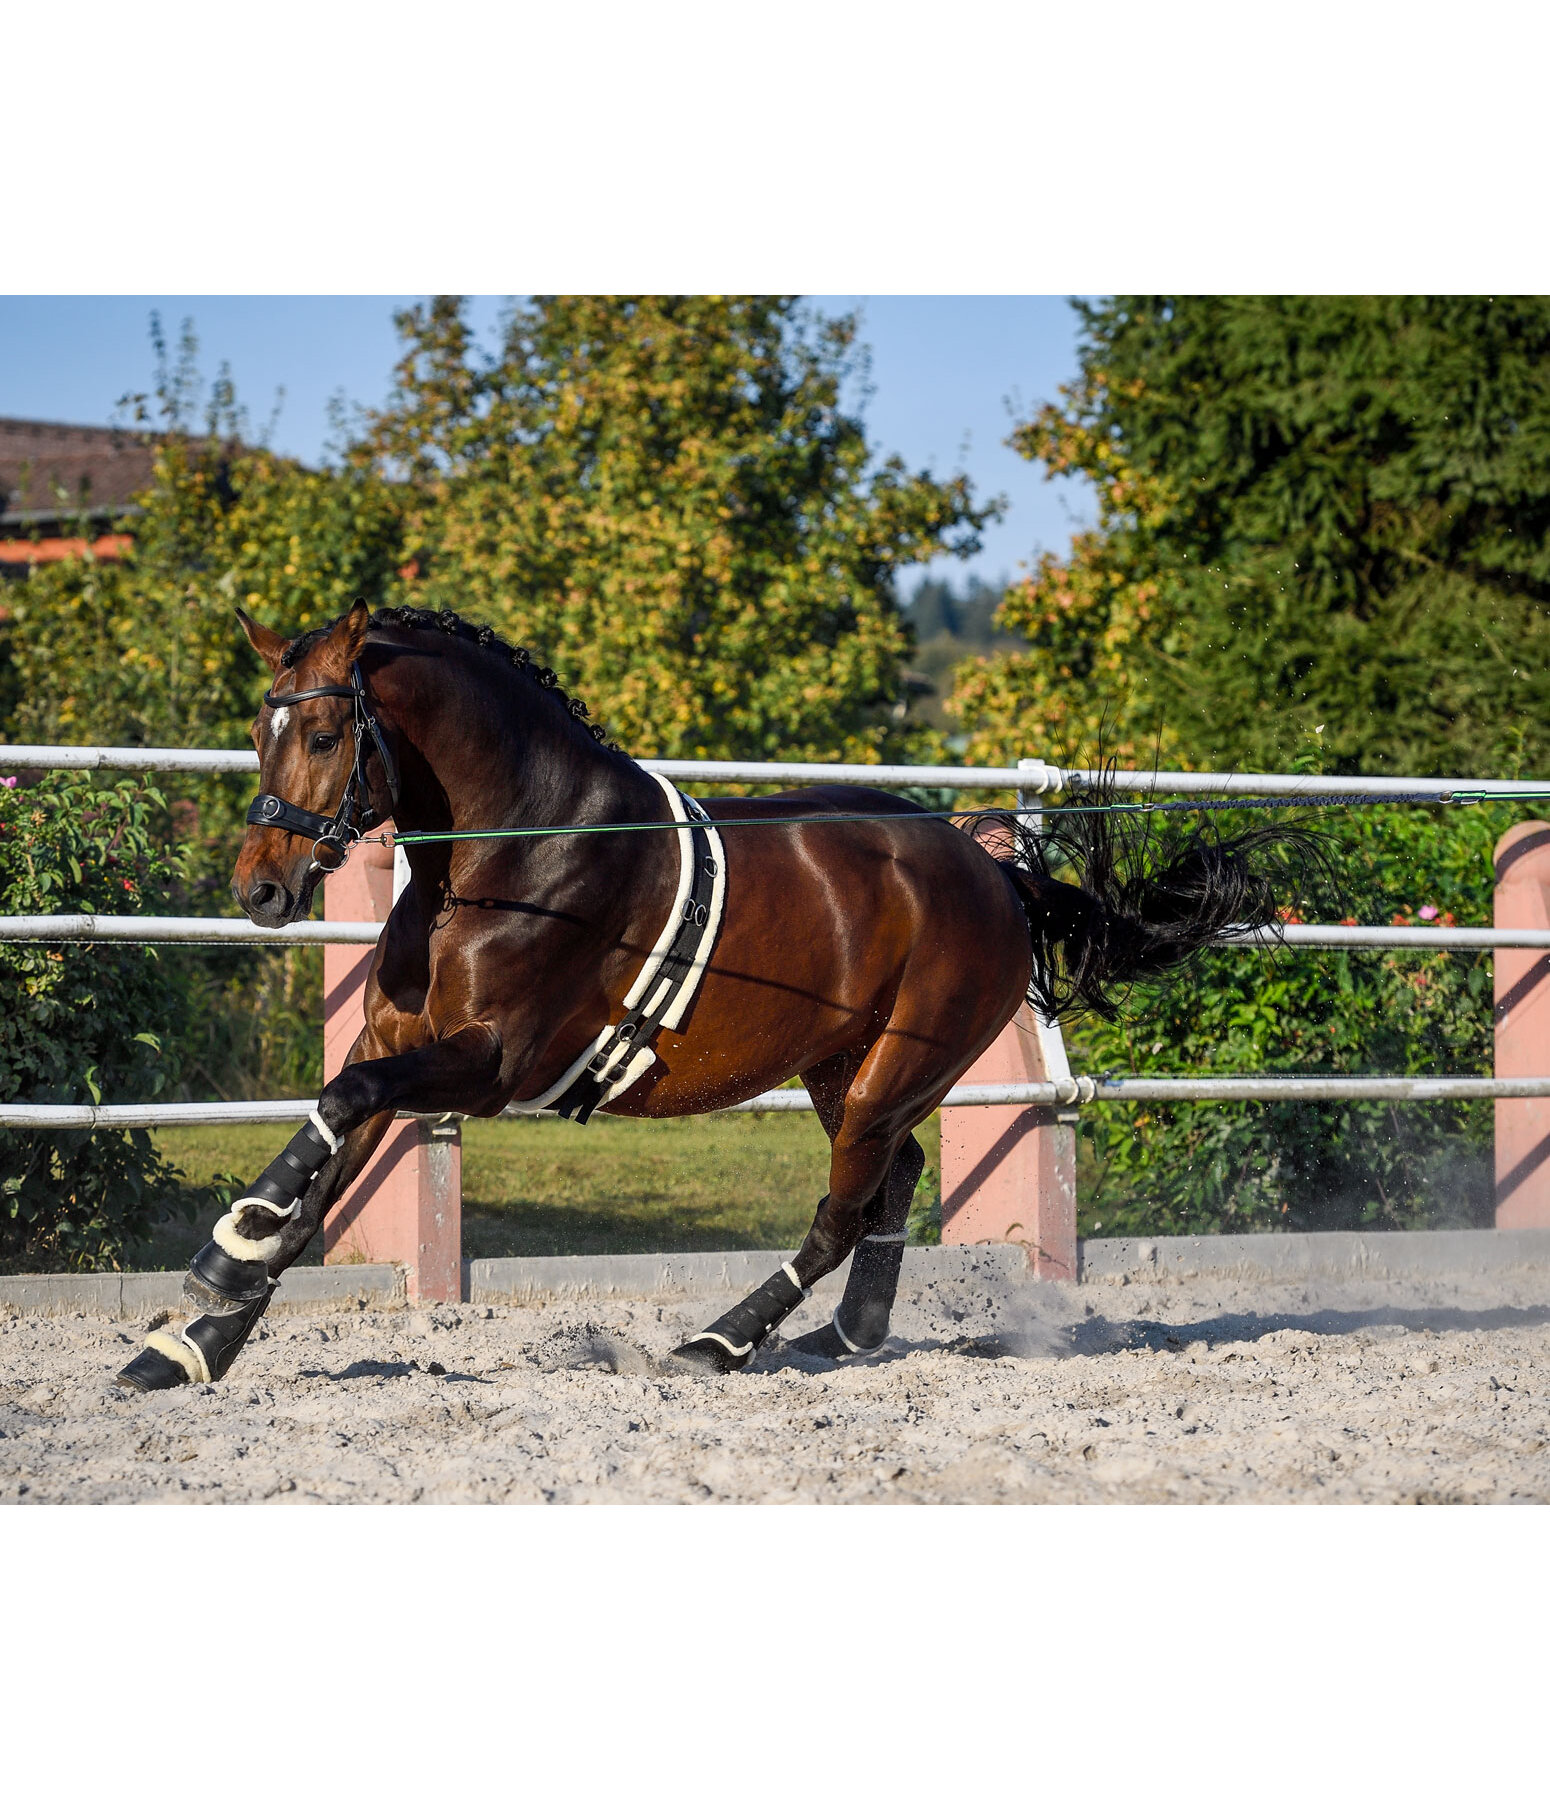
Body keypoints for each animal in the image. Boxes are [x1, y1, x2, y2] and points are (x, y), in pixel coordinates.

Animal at [117, 604, 1303, 1389]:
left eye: (324, 736)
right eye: (258, 732)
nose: (261, 891)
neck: (515, 849)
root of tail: (992, 873)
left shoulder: (491, 1064)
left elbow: (341, 1108)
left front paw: (221, 1252)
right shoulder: (398, 1047)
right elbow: (329, 1162)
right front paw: (194, 1339)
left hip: (897, 1066)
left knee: (841, 1209)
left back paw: (725, 1339)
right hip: (846, 1069)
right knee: (893, 1180)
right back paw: (846, 1336)